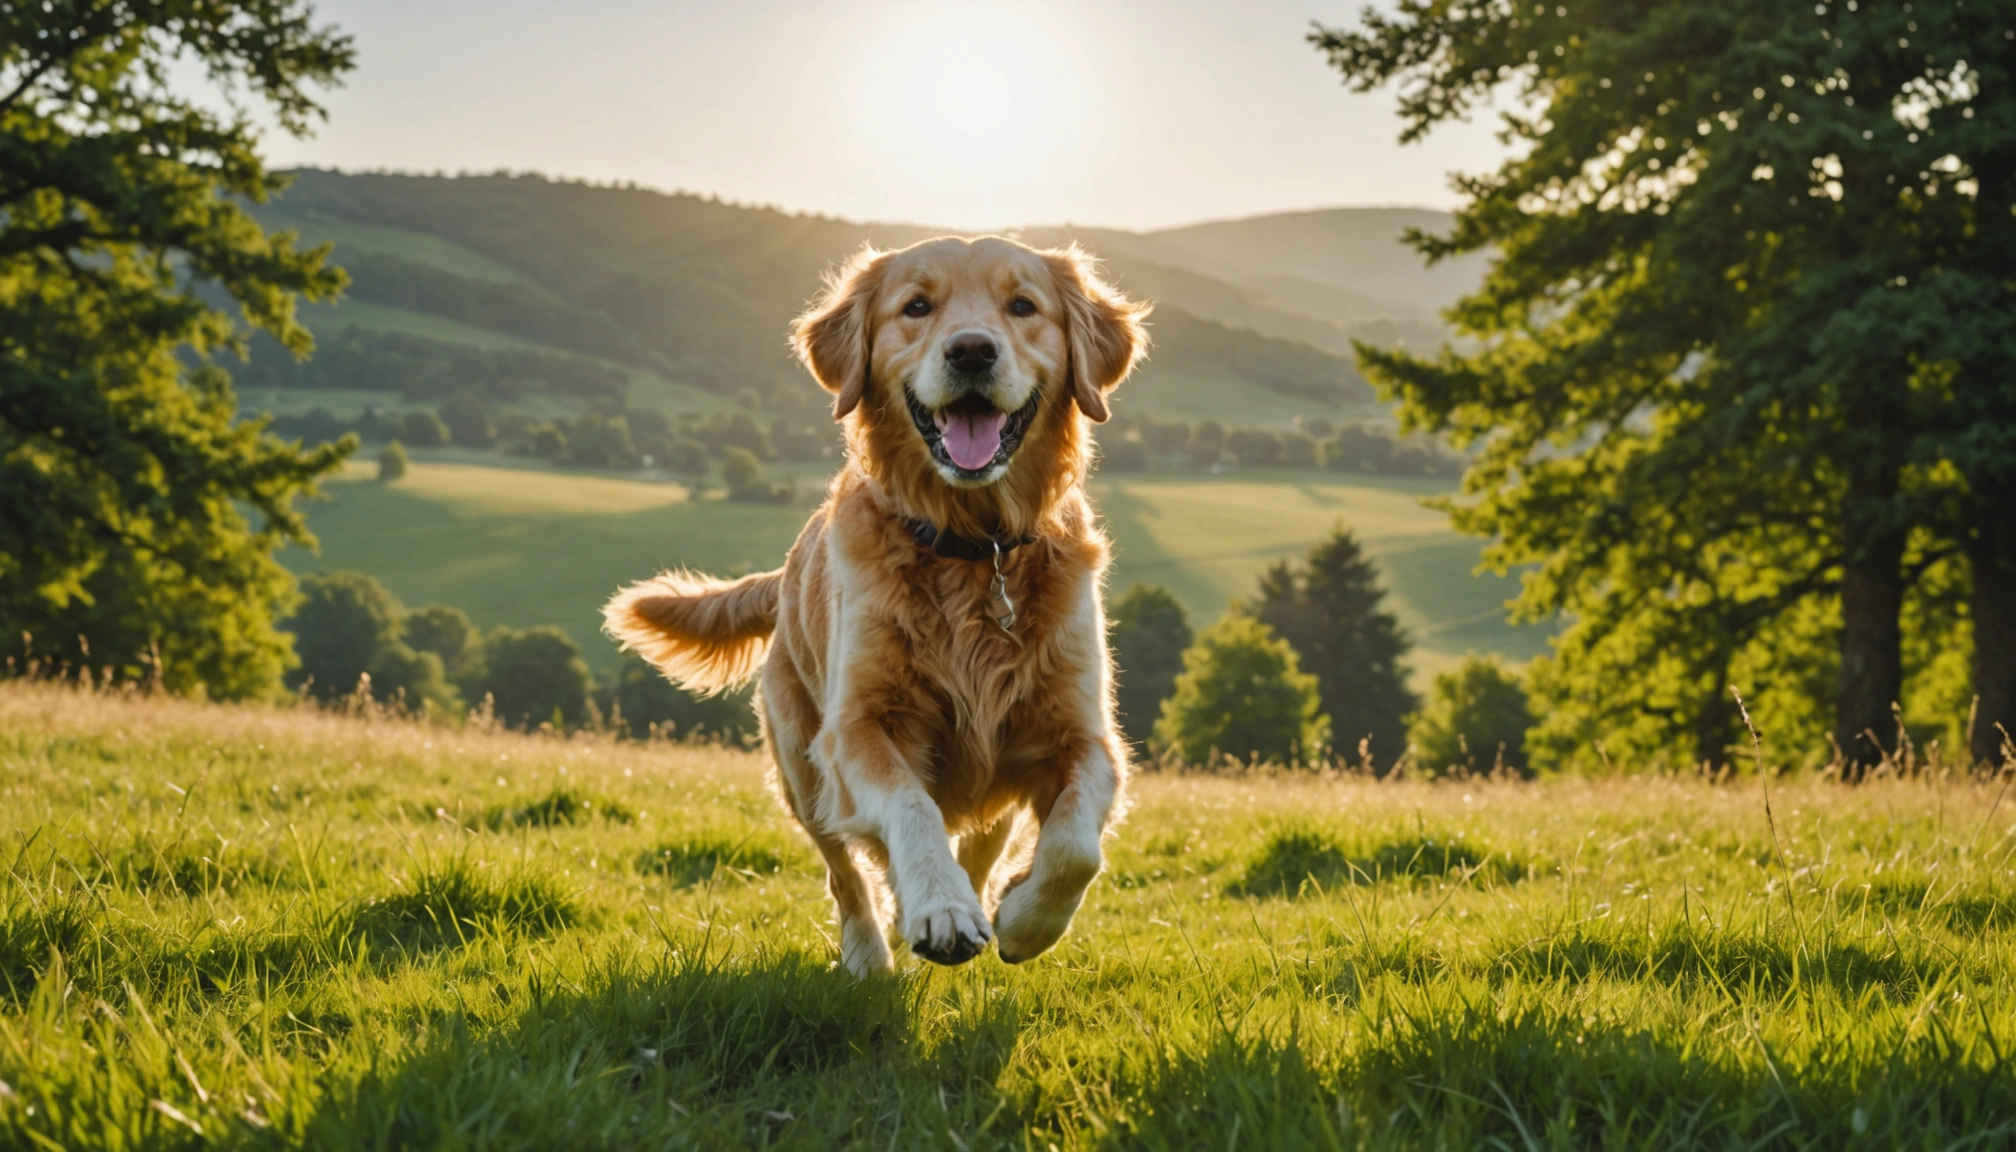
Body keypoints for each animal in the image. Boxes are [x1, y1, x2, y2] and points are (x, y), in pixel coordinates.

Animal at [600, 237, 1153, 972]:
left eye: (1023, 306)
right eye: (916, 306)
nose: (971, 351)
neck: (972, 548)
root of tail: (784, 572)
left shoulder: (1081, 732)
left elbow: (1075, 847)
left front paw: (1023, 919)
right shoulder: (858, 726)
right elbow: (909, 807)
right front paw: (942, 909)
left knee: (984, 842)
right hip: (802, 769)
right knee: (847, 872)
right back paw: (872, 948)